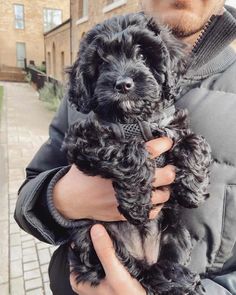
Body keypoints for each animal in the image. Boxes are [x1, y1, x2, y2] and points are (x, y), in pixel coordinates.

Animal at [64, 13, 210, 295]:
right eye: (102, 62)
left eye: (142, 56)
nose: (123, 84)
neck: (136, 120)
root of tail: (145, 255)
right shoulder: (83, 139)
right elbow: (128, 150)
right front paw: (137, 204)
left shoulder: (172, 125)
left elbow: (194, 141)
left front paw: (193, 189)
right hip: (93, 239)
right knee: (135, 271)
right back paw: (165, 279)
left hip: (176, 232)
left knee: (167, 260)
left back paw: (180, 279)